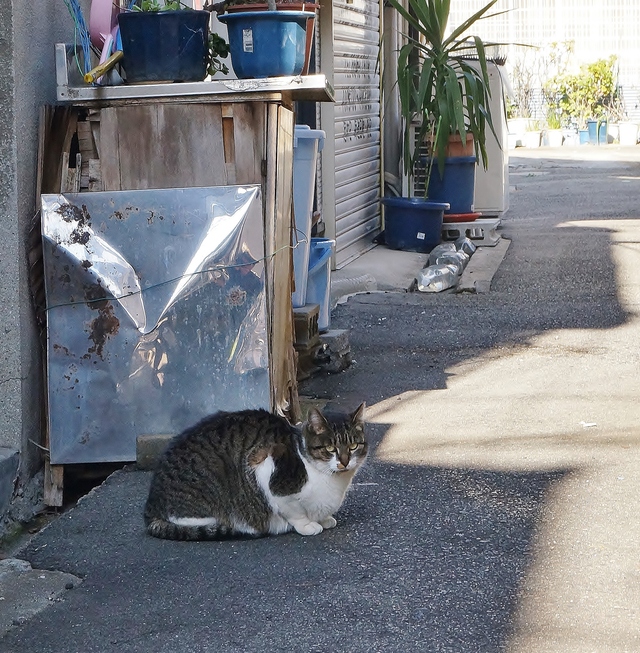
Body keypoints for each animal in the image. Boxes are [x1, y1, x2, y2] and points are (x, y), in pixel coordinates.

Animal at [143, 402, 368, 540]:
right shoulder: (266, 467)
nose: (344, 462)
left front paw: (324, 519)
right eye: (330, 448)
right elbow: (294, 512)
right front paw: (308, 525)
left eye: (353, 446)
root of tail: (151, 506)